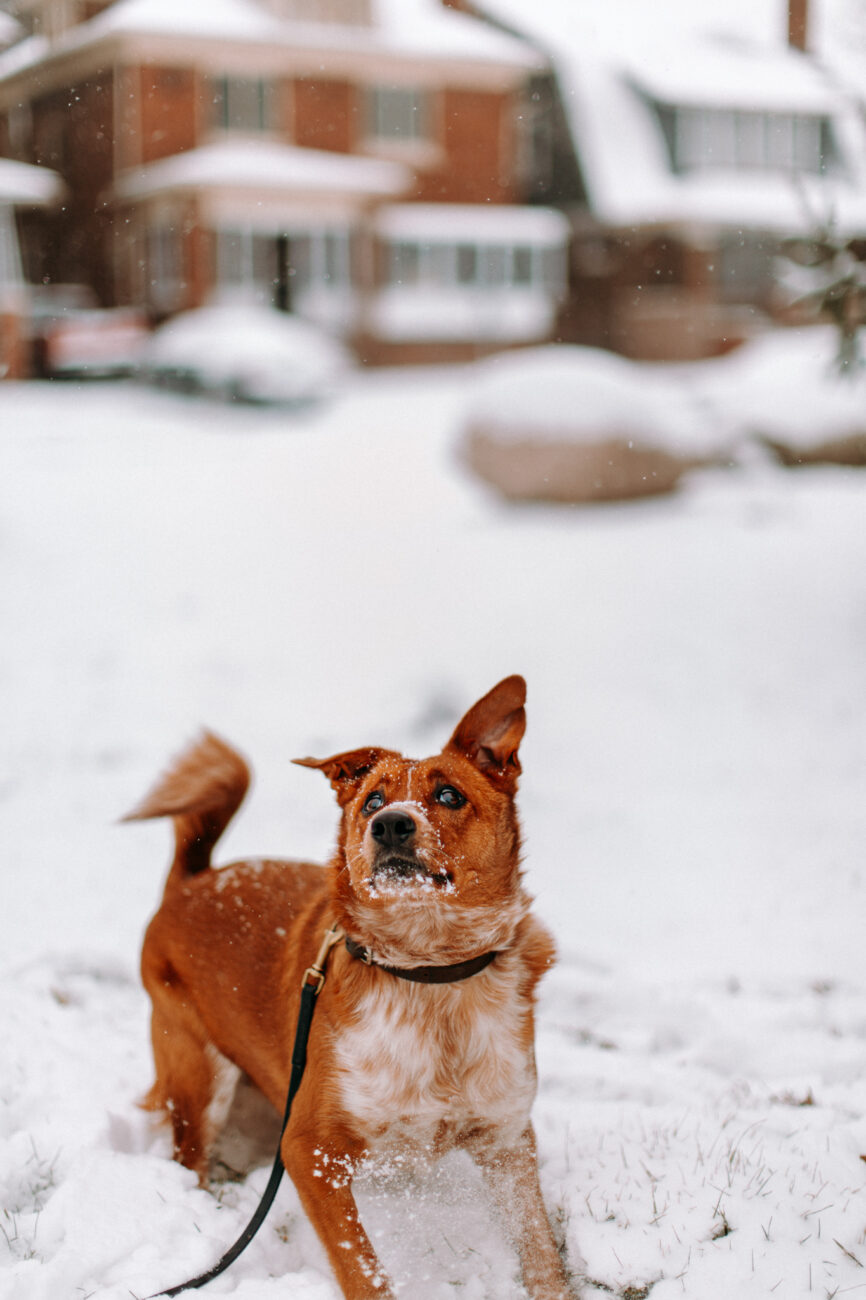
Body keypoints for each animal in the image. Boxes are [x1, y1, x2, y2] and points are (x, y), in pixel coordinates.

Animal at [128, 681, 577, 1300]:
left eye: (449, 795)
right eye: (371, 800)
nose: (389, 824)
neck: (429, 976)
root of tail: (194, 880)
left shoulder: (506, 1137)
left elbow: (542, 1258)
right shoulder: (309, 1149)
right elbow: (362, 1268)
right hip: (198, 1075)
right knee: (187, 1157)